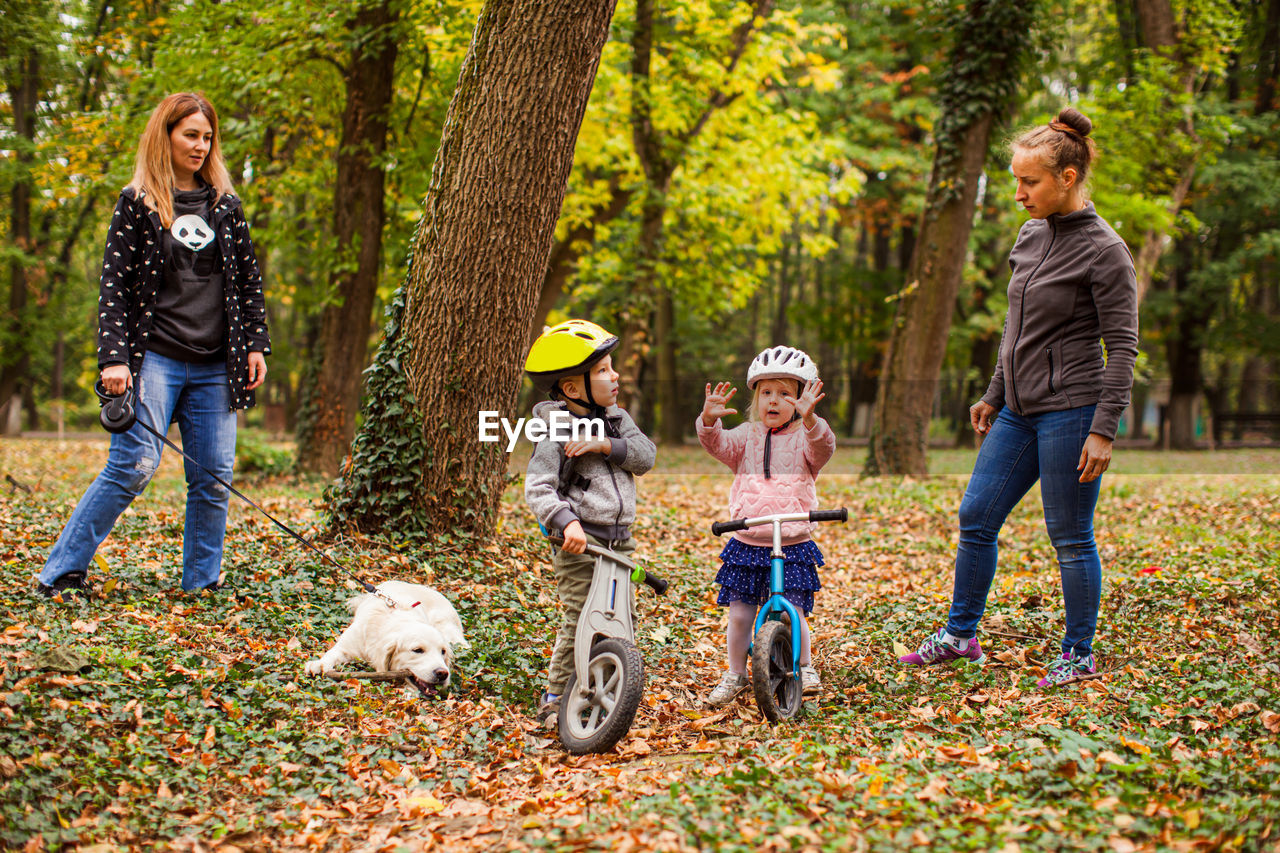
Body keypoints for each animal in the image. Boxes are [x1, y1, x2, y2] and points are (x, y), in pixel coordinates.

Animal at [307, 578, 468, 691]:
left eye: (443, 652)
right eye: (417, 650)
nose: (443, 673)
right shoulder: (347, 645)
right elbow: (332, 653)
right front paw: (319, 665)